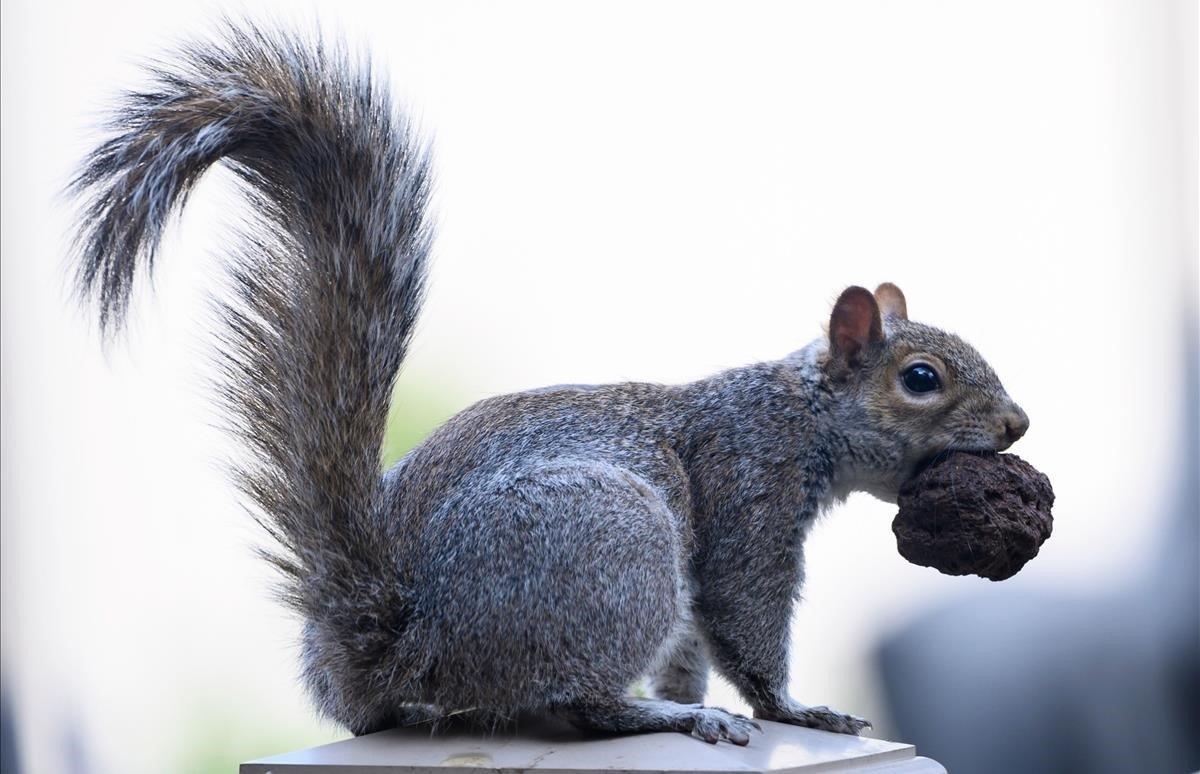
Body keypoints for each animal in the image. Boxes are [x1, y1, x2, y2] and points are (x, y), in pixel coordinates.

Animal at [72, 24, 1032, 744]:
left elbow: (689, 648)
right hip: (615, 545)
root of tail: (394, 637)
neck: (797, 412)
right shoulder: (748, 490)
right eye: (921, 378)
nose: (1017, 426)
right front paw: (792, 708)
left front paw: (698, 693)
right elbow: (743, 612)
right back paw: (660, 719)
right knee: (574, 703)